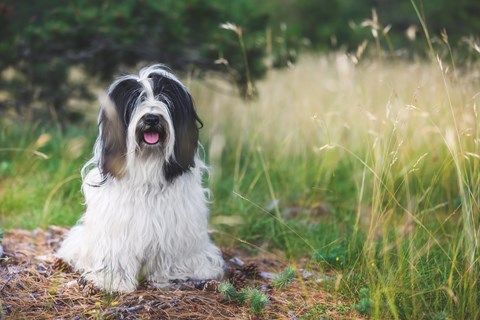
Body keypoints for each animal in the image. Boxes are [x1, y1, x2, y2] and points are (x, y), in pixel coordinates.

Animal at [57, 65, 226, 292]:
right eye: (136, 99)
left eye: (165, 98)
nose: (152, 118)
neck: (147, 166)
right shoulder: (118, 226)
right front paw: (113, 280)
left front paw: (168, 276)